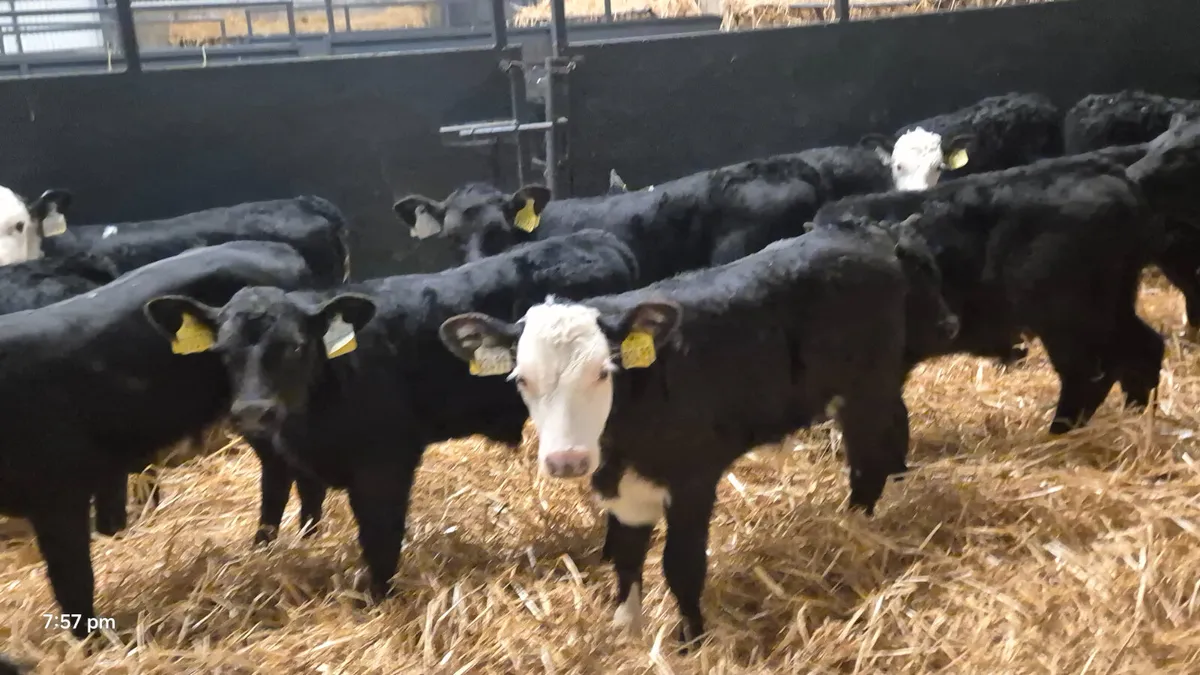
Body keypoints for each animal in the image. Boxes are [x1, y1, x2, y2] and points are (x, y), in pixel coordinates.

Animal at [140, 230, 641, 603]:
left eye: (296, 346)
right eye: (223, 351)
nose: (252, 411)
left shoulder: (386, 463)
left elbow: (379, 537)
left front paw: (377, 599)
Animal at [437, 222, 959, 650]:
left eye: (604, 372)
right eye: (522, 379)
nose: (566, 460)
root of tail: (873, 234)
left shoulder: (692, 480)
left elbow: (681, 565)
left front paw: (690, 640)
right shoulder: (624, 490)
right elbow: (626, 556)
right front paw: (626, 628)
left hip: (866, 385)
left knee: (867, 458)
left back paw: (857, 525)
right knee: (892, 428)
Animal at [813, 151, 1166, 435]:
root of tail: (1107, 172)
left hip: (1069, 320)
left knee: (1087, 373)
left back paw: (1059, 432)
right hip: (1113, 308)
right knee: (1142, 350)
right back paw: (1136, 417)